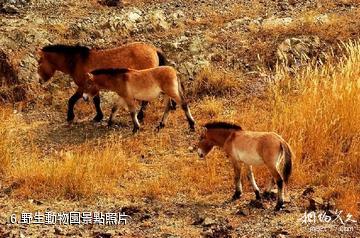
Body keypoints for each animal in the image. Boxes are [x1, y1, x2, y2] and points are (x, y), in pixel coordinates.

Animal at [37, 41, 168, 122]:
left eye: (39, 61)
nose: (39, 80)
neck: (77, 62)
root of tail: (153, 49)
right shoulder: (93, 88)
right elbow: (96, 101)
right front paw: (99, 116)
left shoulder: (82, 87)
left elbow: (72, 100)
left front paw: (70, 116)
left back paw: (140, 115)